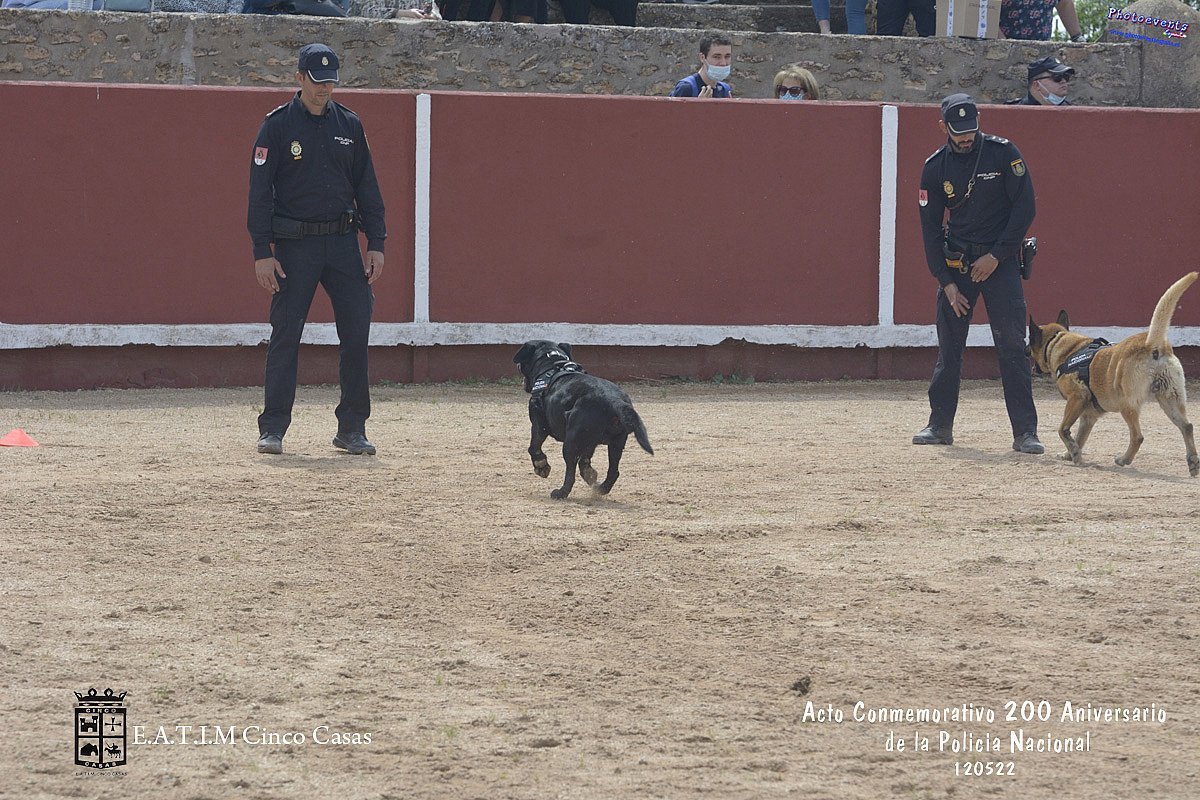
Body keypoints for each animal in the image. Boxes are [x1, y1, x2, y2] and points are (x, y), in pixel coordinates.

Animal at [513, 340, 653, 499]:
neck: (551, 365)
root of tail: (614, 400)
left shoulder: (539, 423)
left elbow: (534, 447)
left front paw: (541, 467)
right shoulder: (590, 443)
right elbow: (585, 460)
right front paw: (590, 474)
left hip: (571, 442)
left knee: (570, 471)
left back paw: (561, 492)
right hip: (616, 443)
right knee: (613, 471)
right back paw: (600, 487)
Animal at [1026, 271, 1199, 476]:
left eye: (1030, 344)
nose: (1024, 351)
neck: (1061, 344)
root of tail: (1152, 344)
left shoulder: (1077, 398)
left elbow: (1063, 429)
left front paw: (1074, 453)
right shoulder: (1088, 416)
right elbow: (1079, 437)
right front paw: (1070, 453)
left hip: (1128, 404)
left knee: (1138, 436)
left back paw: (1124, 459)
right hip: (1170, 399)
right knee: (1187, 427)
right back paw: (1193, 462)